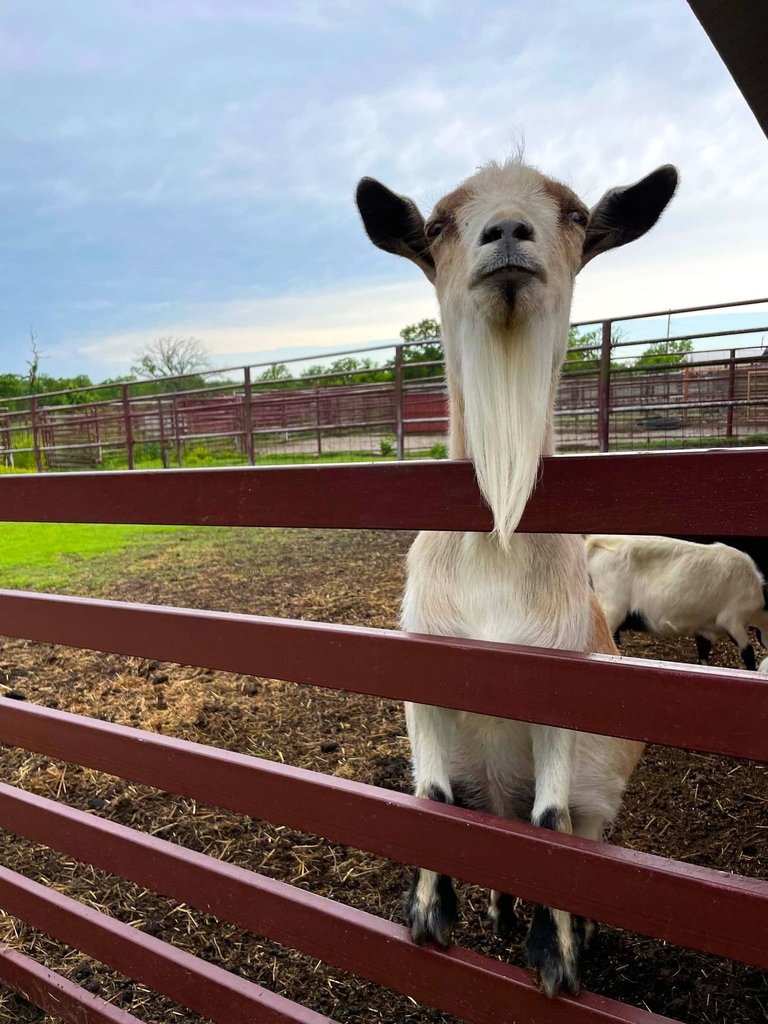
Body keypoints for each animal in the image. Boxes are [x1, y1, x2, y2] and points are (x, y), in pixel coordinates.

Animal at [356, 151, 679, 991]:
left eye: (573, 214)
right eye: (439, 223)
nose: (507, 232)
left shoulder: (559, 689)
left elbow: (550, 821)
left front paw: (555, 957)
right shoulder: (423, 683)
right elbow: (430, 796)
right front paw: (428, 915)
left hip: (603, 788)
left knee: (568, 833)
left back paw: (574, 928)